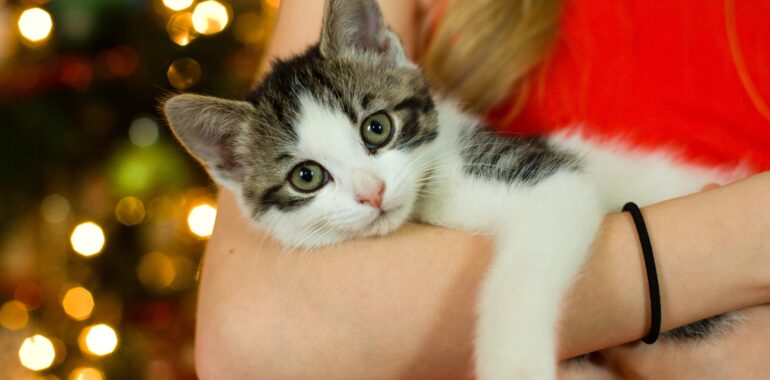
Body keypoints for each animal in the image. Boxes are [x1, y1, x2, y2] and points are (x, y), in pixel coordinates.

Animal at [160, 0, 736, 378]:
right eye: (306, 177)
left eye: (377, 127)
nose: (372, 192)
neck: (429, 196)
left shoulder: (553, 178)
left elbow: (519, 278)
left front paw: (515, 365)